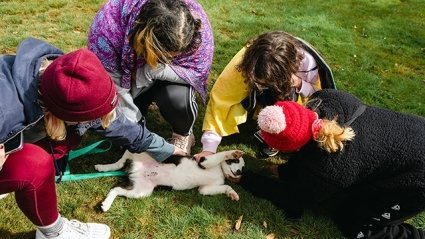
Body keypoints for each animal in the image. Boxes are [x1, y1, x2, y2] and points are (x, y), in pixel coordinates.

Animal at [94, 149, 243, 211]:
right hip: (142, 152)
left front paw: (232, 194)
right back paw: (102, 167)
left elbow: (225, 187)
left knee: (117, 187)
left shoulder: (205, 189)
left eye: (243, 168)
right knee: (122, 158)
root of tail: (134, 170)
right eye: (235, 161)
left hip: (141, 192)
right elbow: (222, 154)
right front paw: (234, 152)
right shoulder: (204, 161)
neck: (220, 172)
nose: (239, 172)